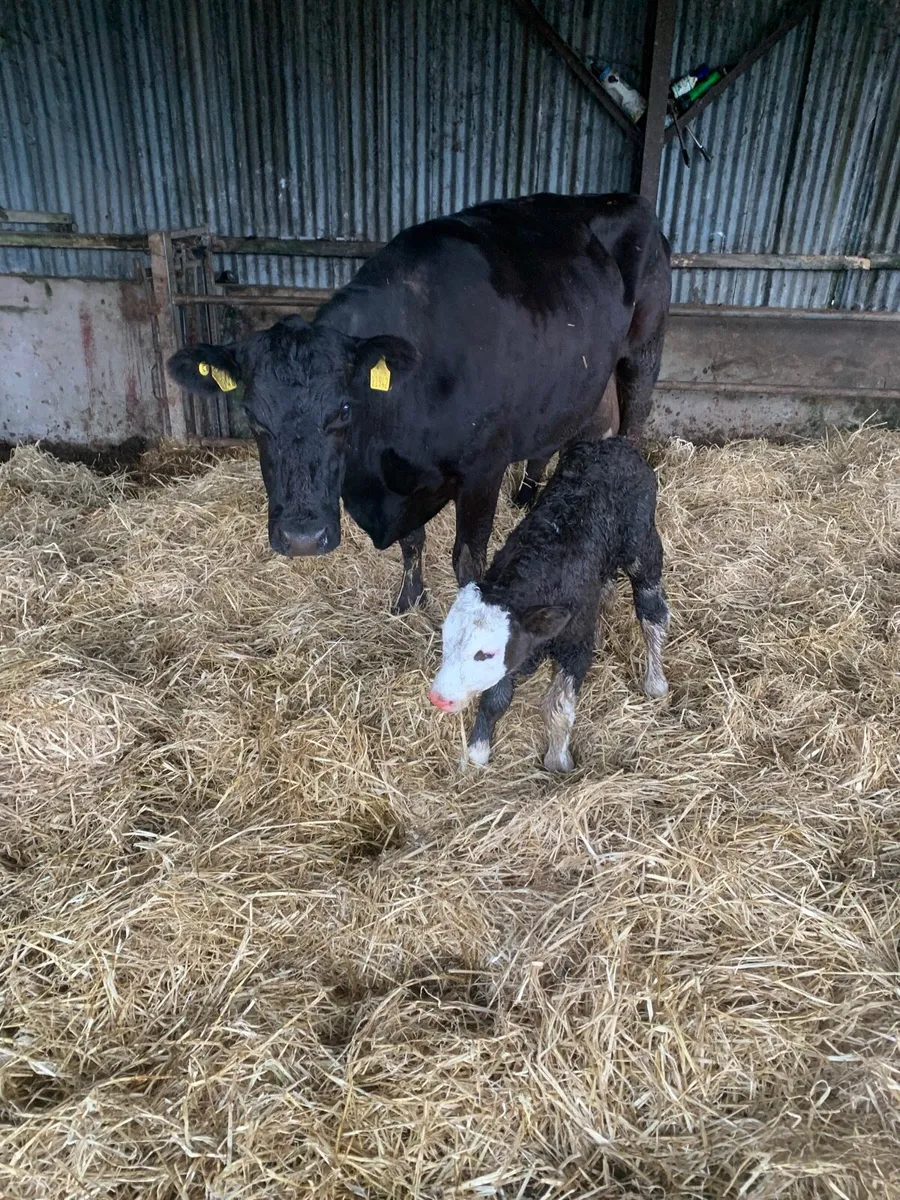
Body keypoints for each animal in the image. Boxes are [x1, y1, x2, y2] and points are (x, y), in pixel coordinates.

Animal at [167, 192, 671, 611]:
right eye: (252, 416)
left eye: (344, 410)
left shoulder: (483, 469)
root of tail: (624, 199)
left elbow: (467, 560)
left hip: (643, 354)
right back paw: (532, 496)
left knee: (631, 428)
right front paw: (409, 600)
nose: (303, 537)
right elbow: (412, 542)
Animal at [428, 437, 670, 772]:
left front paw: (558, 761)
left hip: (642, 544)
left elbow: (557, 705)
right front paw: (476, 754)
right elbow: (495, 699)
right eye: (445, 636)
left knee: (652, 612)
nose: (439, 698)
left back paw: (656, 680)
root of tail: (616, 444)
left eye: (485, 653)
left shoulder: (574, 648)